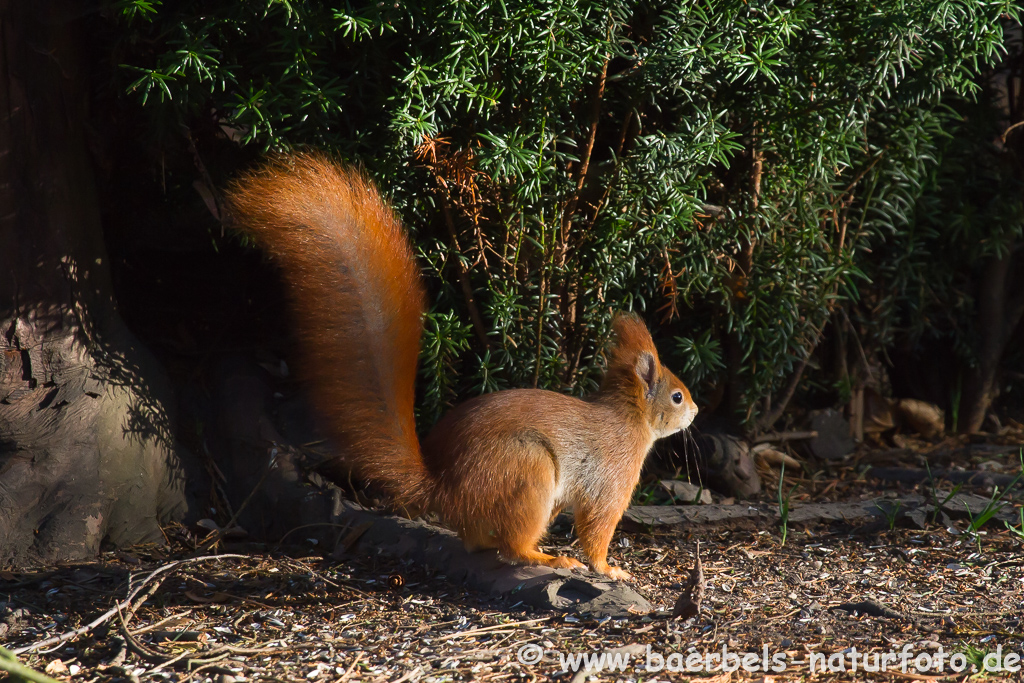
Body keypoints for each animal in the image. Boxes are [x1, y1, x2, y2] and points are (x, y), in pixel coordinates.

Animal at [228, 152, 700, 581]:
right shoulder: (610, 481)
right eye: (677, 396)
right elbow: (596, 530)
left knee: (479, 543)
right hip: (527, 473)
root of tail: (446, 490)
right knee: (513, 546)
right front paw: (609, 569)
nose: (696, 411)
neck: (629, 419)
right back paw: (549, 558)